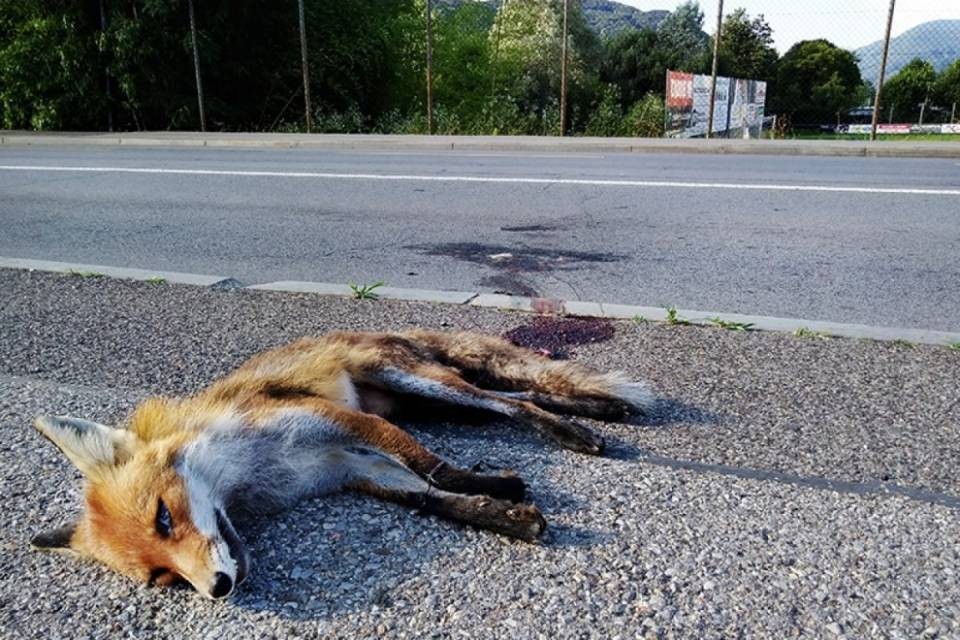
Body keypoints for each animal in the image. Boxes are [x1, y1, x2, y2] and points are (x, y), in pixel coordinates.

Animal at [30, 329, 654, 599]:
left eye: (164, 516)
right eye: (163, 579)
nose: (219, 588)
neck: (255, 472)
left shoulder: (339, 424)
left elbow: (434, 470)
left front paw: (501, 486)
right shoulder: (349, 467)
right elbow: (434, 500)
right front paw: (505, 515)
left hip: (415, 384)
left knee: (512, 402)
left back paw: (577, 430)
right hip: (431, 402)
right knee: (520, 394)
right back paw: (602, 409)